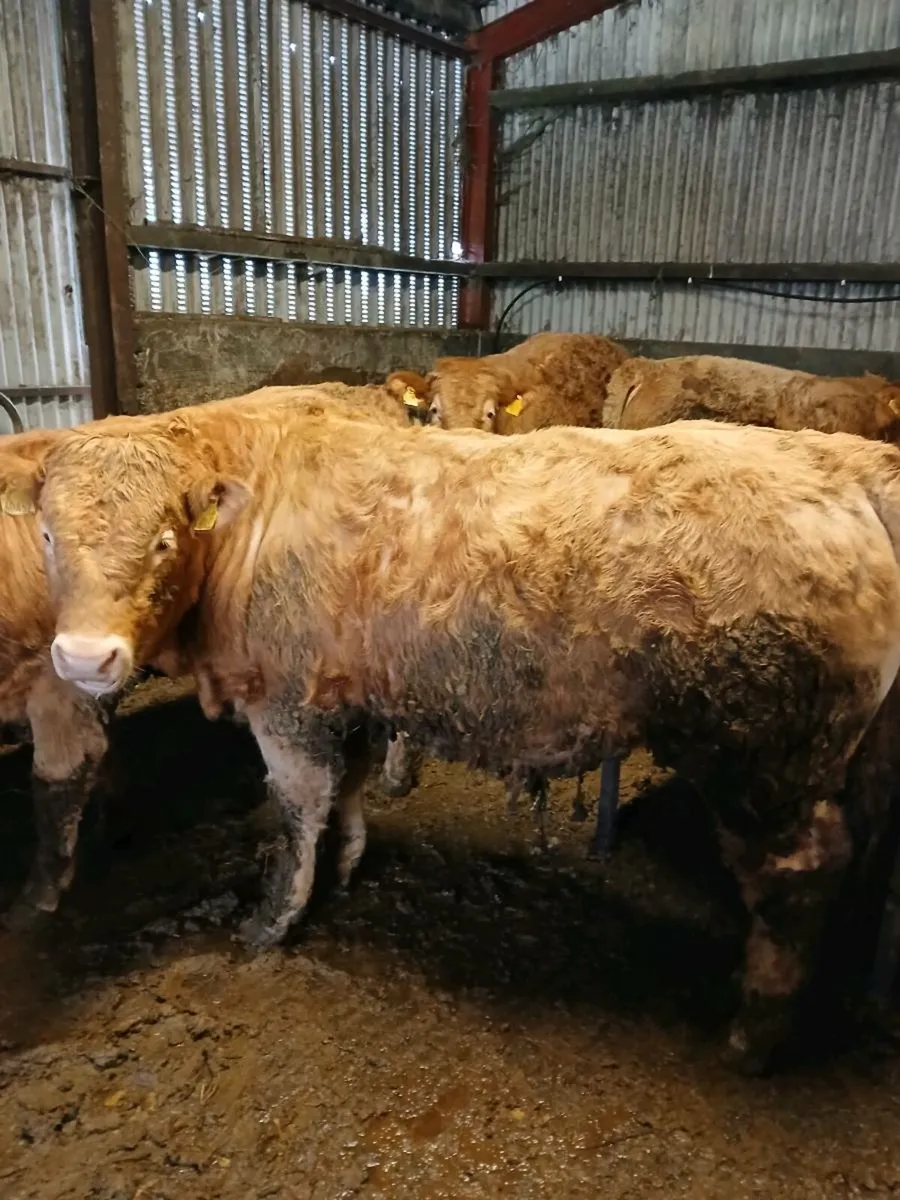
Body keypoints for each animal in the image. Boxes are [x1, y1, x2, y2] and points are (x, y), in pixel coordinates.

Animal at [4, 406, 900, 1073]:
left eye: (163, 538)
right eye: (48, 536)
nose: (82, 657)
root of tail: (846, 462)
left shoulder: (286, 704)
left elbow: (299, 809)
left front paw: (273, 920)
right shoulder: (349, 696)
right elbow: (348, 789)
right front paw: (347, 867)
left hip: (764, 759)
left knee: (803, 871)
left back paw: (755, 1032)